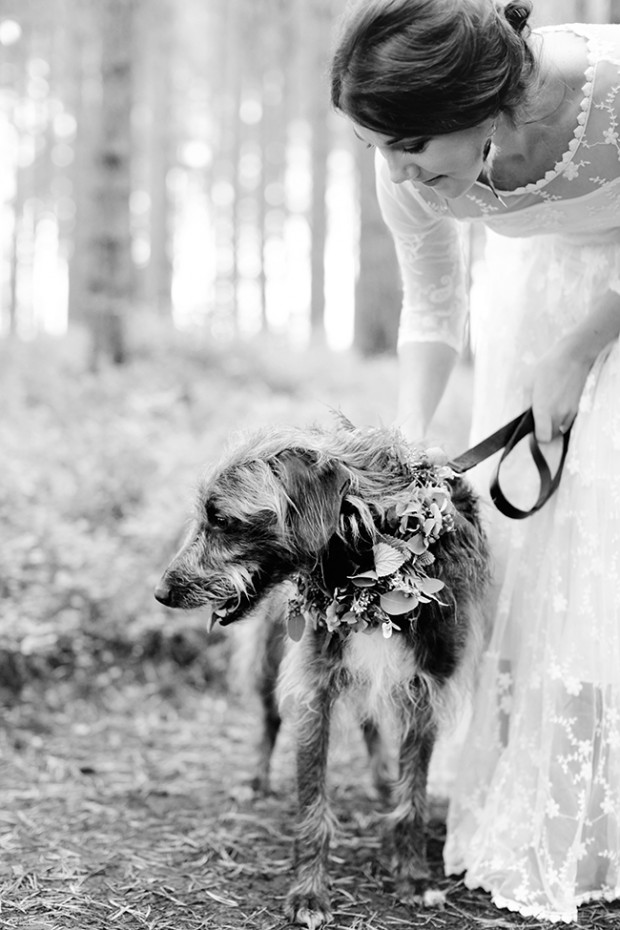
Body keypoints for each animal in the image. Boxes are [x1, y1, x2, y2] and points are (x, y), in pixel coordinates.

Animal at [155, 420, 490, 928]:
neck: (367, 570)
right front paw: (309, 894)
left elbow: (412, 798)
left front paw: (413, 877)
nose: (161, 592)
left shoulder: (426, 689)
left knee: (370, 723)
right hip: (270, 657)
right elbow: (313, 804)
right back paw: (255, 781)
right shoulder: (315, 687)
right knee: (269, 719)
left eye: (222, 519)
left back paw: (381, 779)